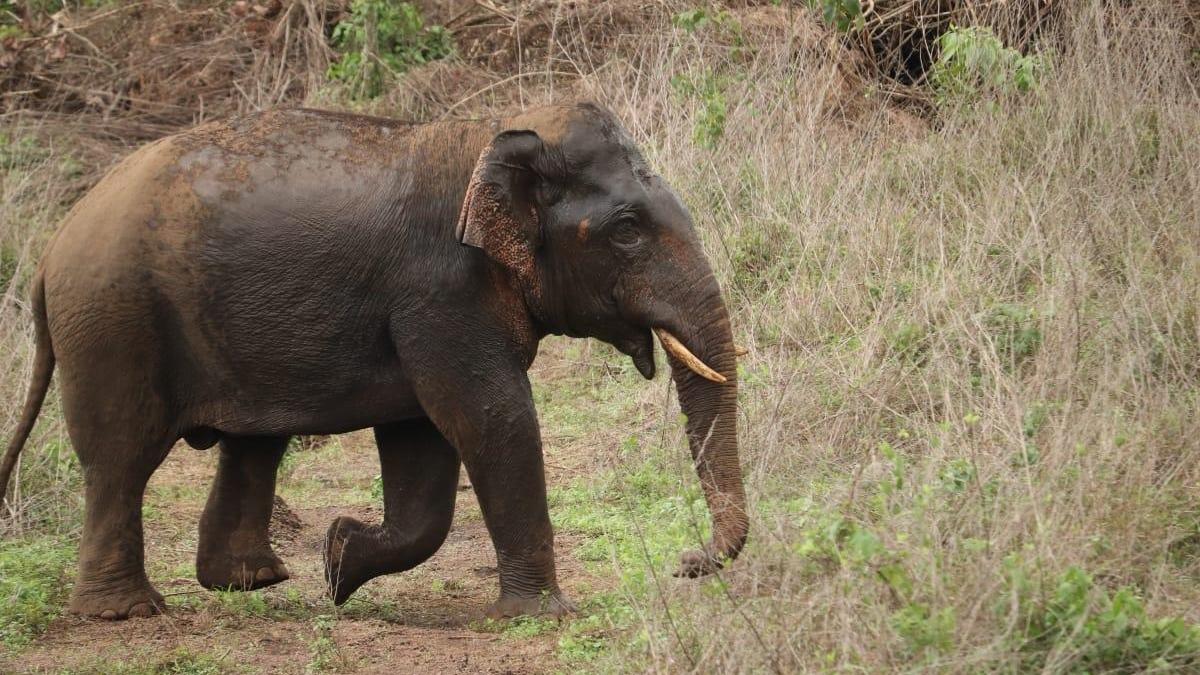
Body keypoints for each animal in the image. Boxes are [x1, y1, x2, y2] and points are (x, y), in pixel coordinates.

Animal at [0, 103, 748, 620]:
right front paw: (541, 616)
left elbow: (424, 442)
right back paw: (126, 612)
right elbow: (490, 416)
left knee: (252, 444)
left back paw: (253, 580)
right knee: (119, 458)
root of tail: (54, 244)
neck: (493, 134)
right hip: (115, 321)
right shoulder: (440, 290)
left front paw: (339, 559)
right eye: (626, 230)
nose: (686, 561)